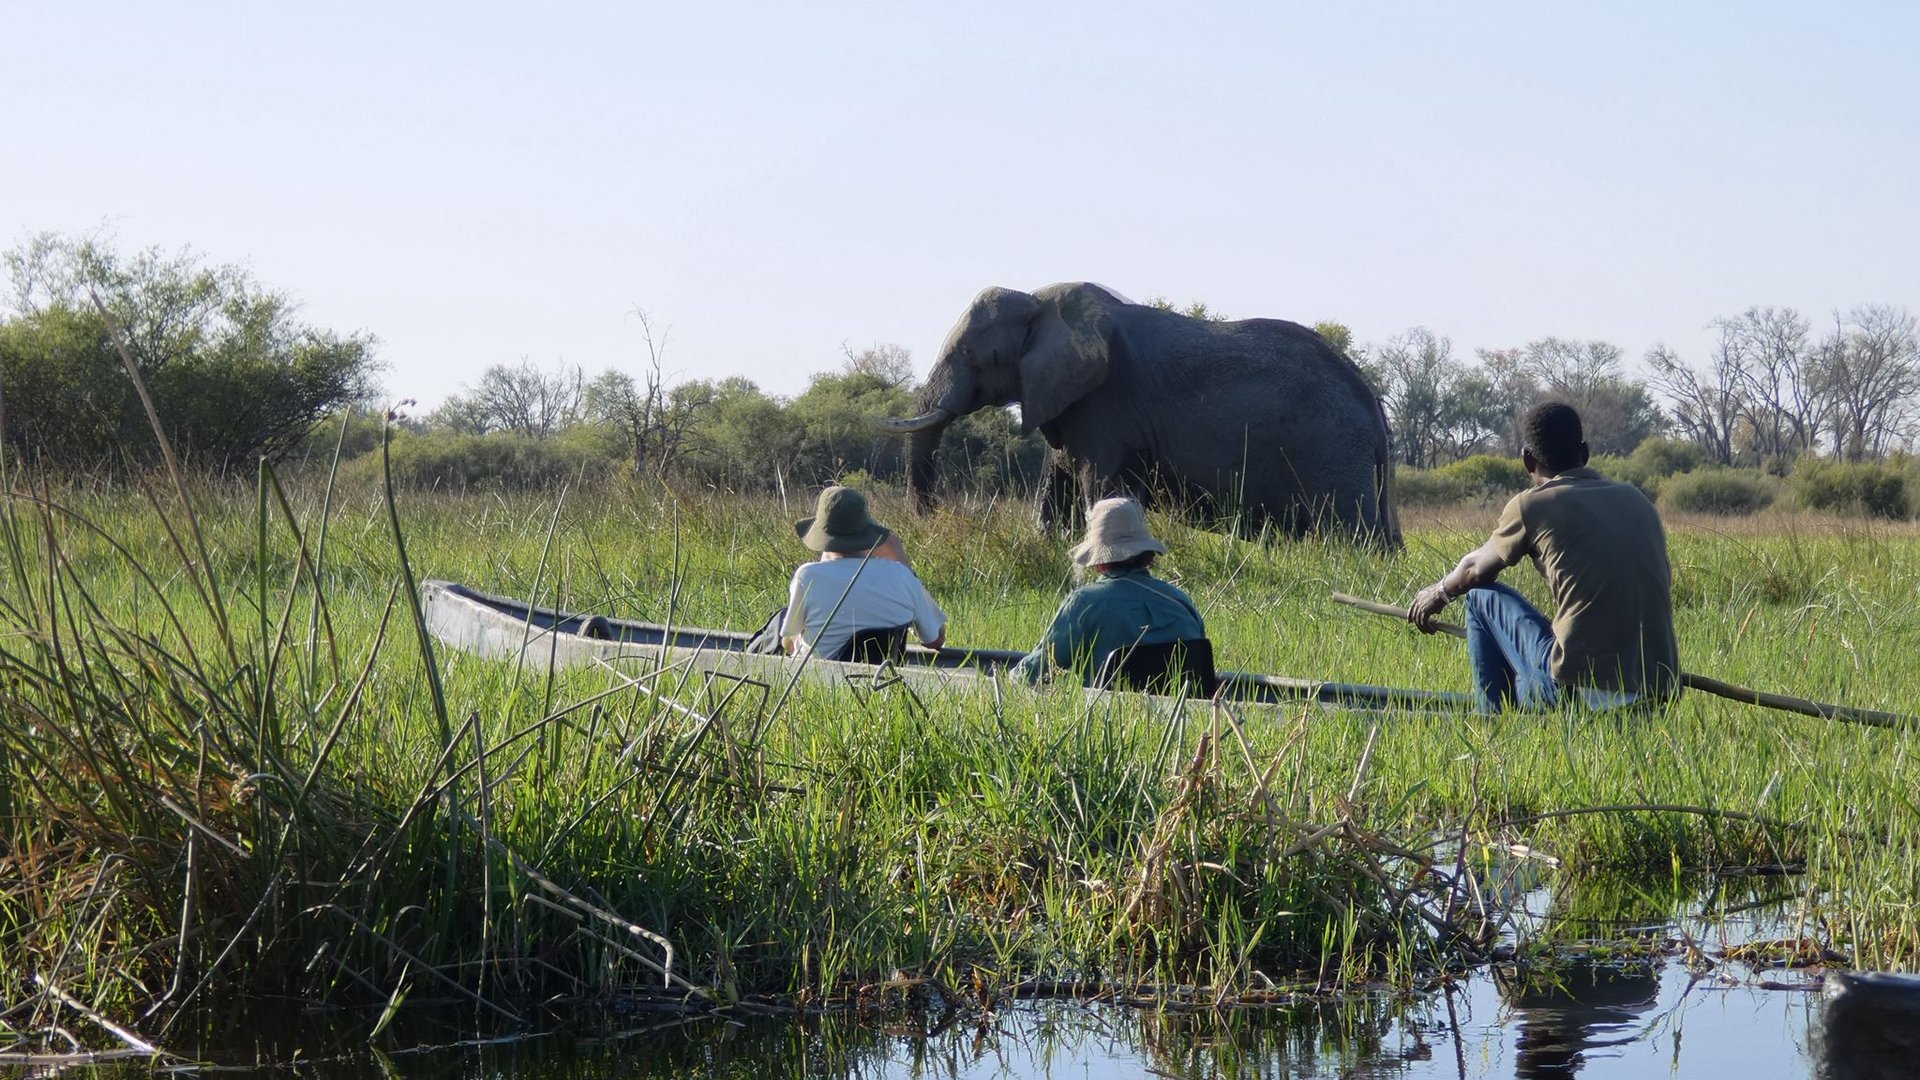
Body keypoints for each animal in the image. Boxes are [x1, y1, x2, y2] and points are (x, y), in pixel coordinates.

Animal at [875, 282, 1400, 547]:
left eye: (975, 355)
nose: (933, 521)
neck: (1043, 302)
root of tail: (1375, 411)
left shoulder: (1108, 403)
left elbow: (1098, 485)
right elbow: (1057, 485)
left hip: (1331, 456)